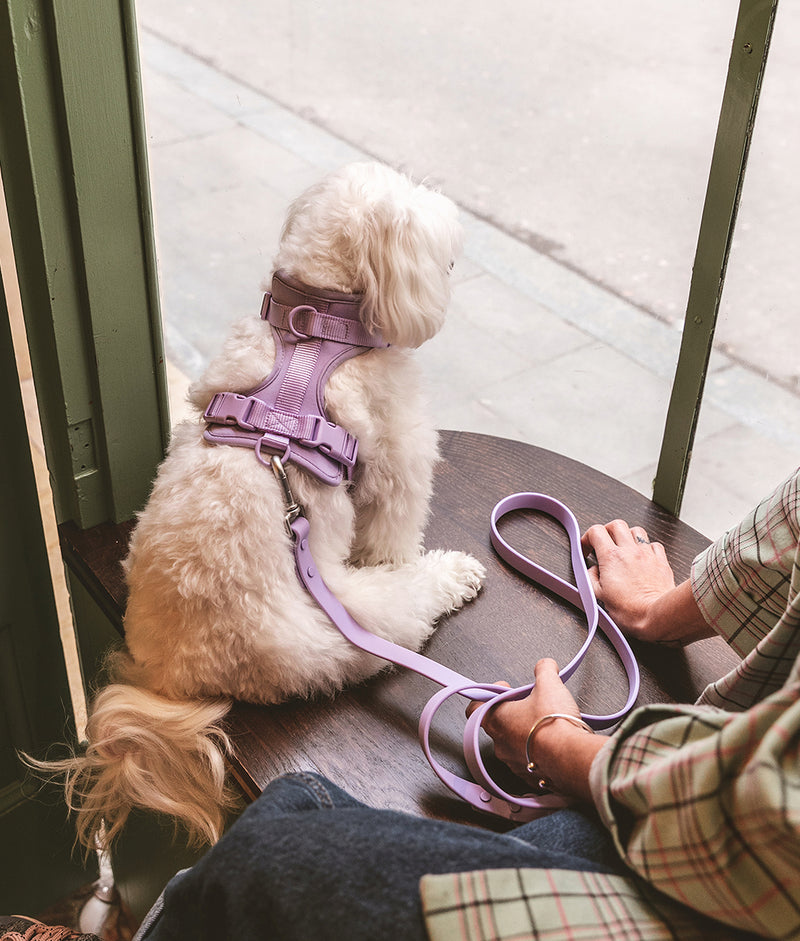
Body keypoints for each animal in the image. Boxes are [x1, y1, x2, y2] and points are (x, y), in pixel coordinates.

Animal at [53, 162, 488, 852]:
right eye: (438, 248)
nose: (453, 263)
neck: (310, 331)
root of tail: (171, 676)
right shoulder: (399, 456)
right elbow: (394, 529)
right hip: (358, 621)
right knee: (407, 600)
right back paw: (452, 575)